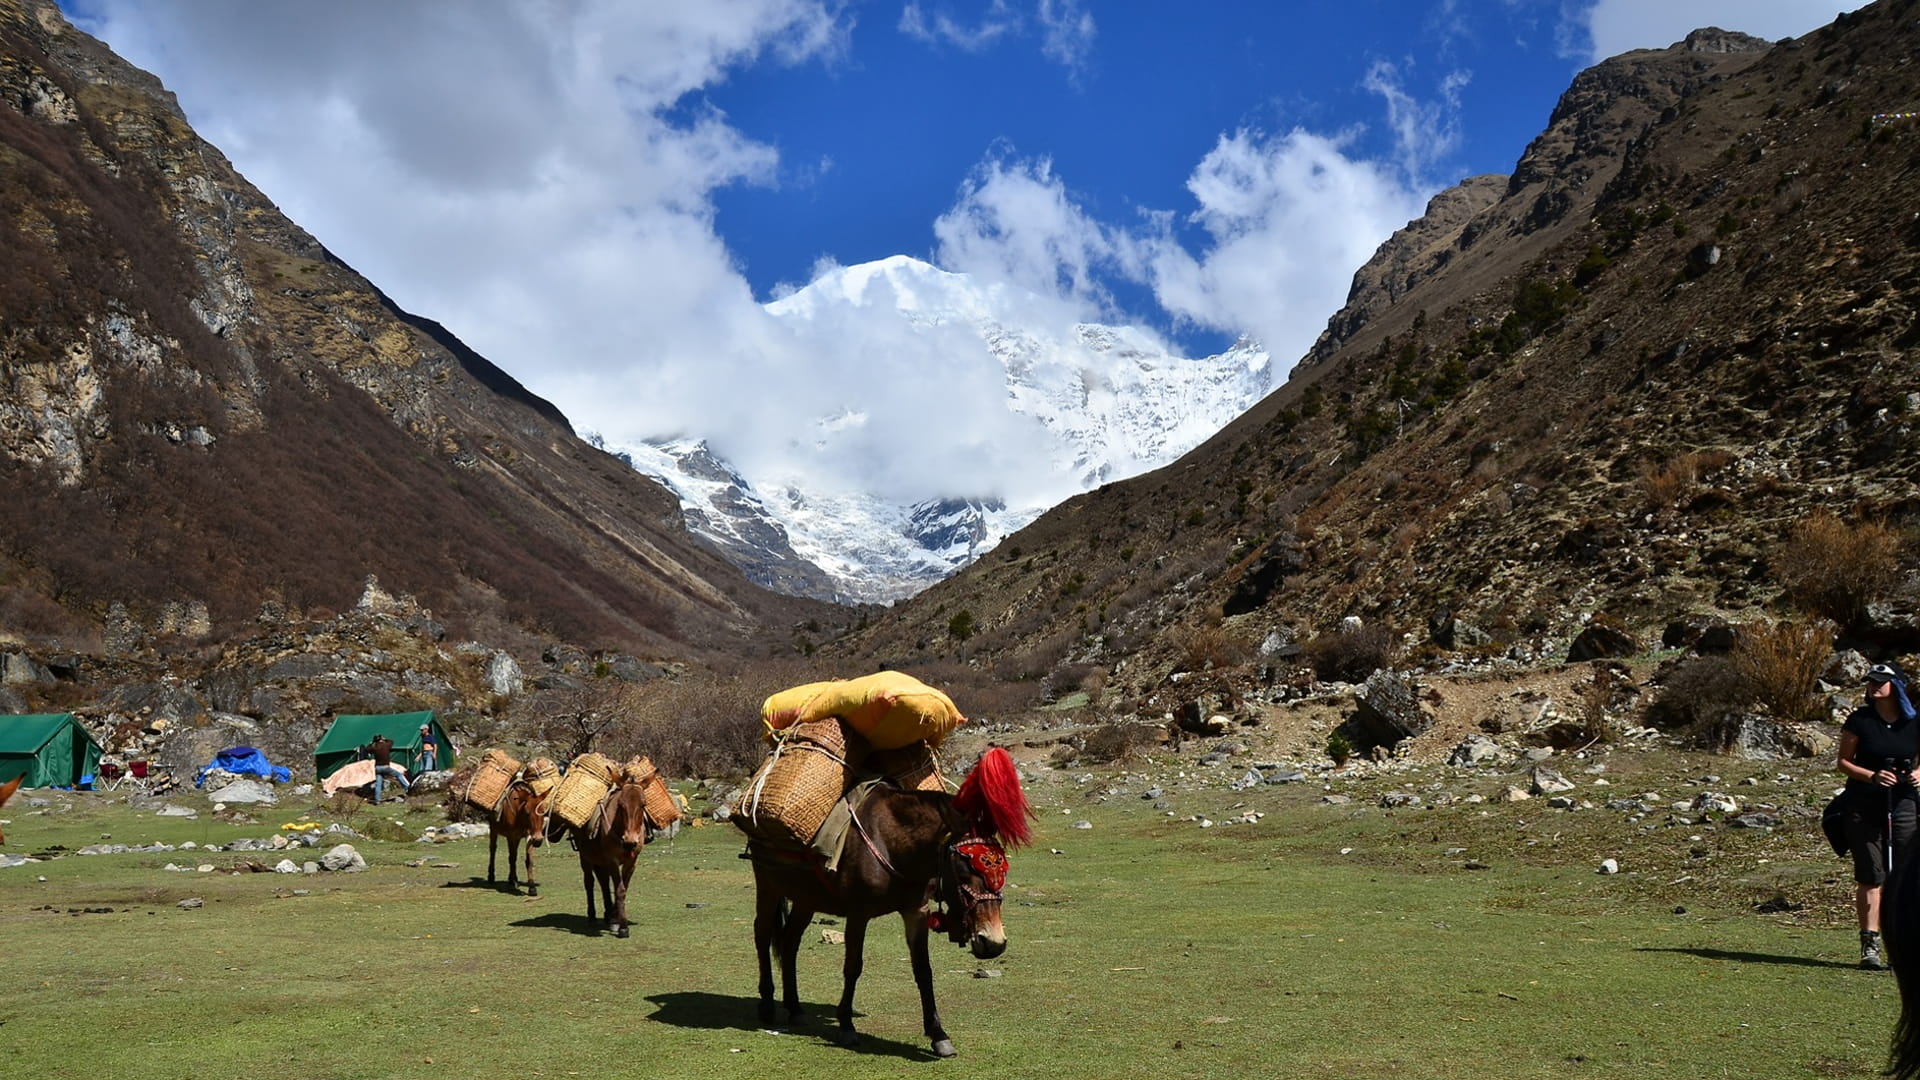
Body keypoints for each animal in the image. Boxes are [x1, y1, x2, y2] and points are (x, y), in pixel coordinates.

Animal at [744, 745, 1029, 1053]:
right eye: (965, 869)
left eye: (1003, 868)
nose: (994, 944)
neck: (893, 843)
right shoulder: (858, 914)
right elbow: (853, 967)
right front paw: (846, 1025)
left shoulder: (916, 911)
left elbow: (923, 969)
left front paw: (938, 1034)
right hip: (768, 885)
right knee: (762, 934)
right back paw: (767, 1005)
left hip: (805, 898)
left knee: (789, 942)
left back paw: (795, 1009)